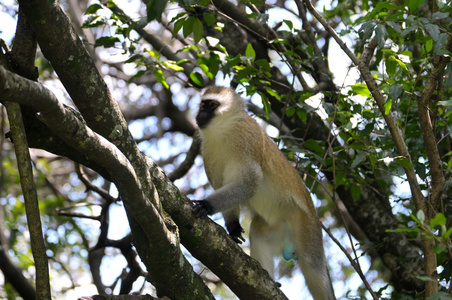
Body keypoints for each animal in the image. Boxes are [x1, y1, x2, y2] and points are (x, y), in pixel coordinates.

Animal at [193, 85, 336, 298]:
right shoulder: (208, 152)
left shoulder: (246, 139)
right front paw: (232, 225)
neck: (224, 131)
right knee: (259, 233)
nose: (199, 114)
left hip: (306, 225)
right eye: (202, 105)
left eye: (212, 105)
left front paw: (206, 205)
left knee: (312, 265)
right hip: (276, 227)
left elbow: (249, 183)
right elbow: (222, 186)